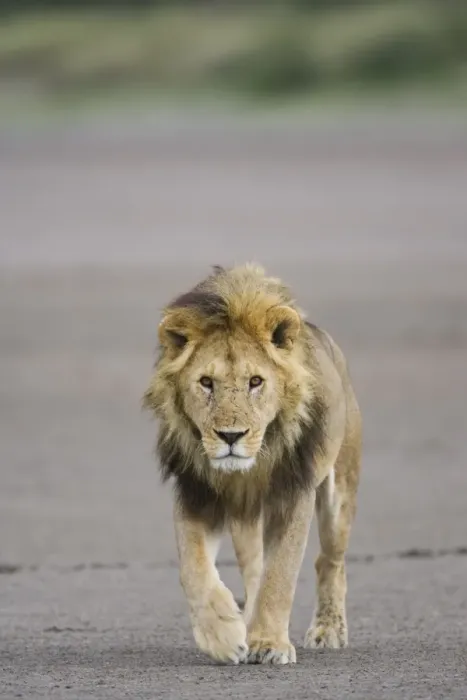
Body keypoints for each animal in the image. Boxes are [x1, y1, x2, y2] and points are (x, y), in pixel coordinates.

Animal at [143, 263, 362, 665]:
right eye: (206, 382)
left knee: (329, 561)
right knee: (255, 569)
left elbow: (282, 575)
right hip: (245, 519)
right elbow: (193, 569)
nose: (231, 436)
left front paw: (270, 643)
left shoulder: (294, 496)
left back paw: (328, 630)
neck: (245, 473)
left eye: (256, 381)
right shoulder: (197, 495)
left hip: (340, 494)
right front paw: (223, 635)